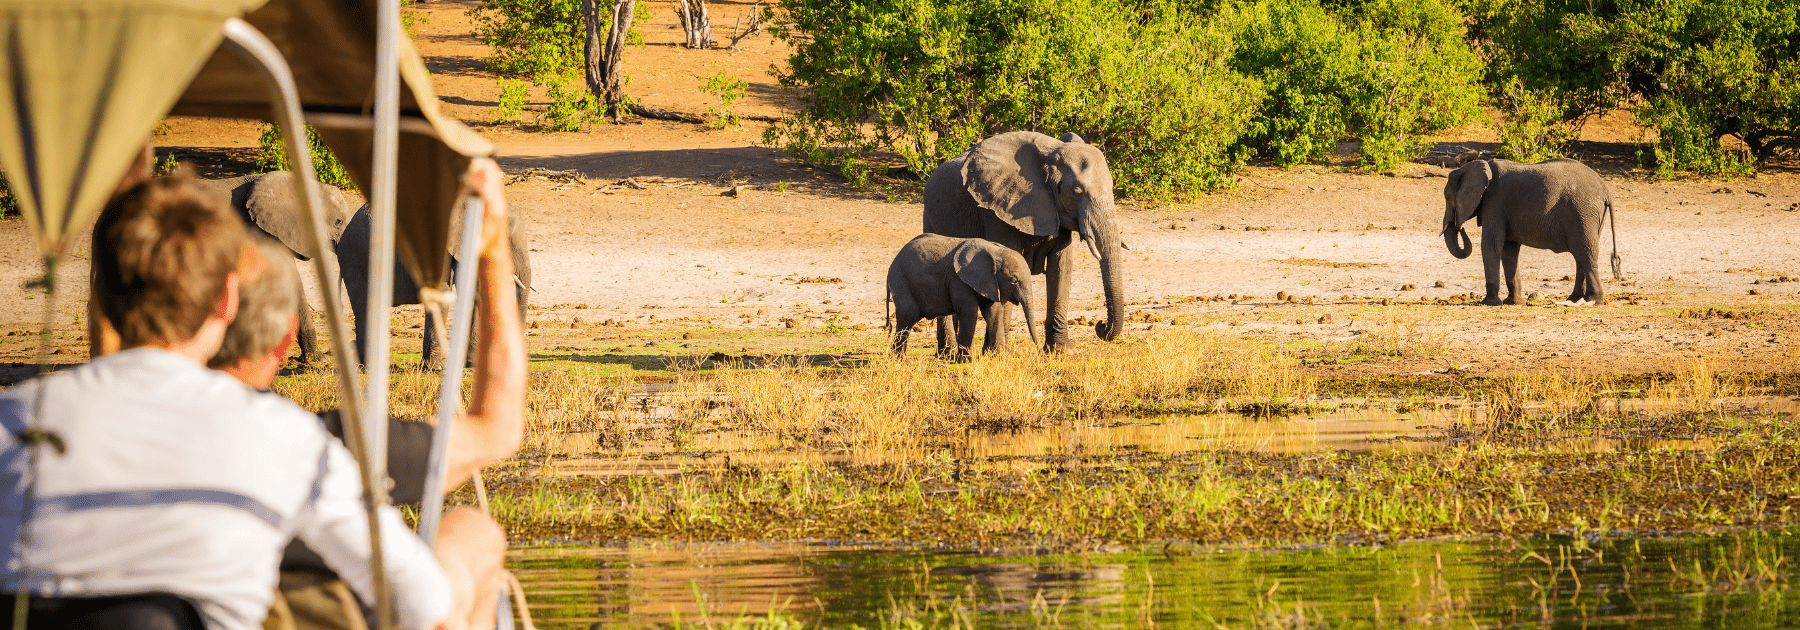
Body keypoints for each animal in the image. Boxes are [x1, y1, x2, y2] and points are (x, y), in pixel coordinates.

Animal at [338, 201, 529, 369]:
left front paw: (472, 365)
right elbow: (441, 292)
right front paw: (435, 368)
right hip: (354, 259)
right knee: (365, 308)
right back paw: (366, 367)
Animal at [885, 234, 1044, 361]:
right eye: (1014, 280)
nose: (1042, 353)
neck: (995, 252)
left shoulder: (991, 282)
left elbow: (993, 313)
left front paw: (999, 359)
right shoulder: (959, 280)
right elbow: (969, 313)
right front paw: (966, 361)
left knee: (908, 320)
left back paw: (898, 359)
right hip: (901, 282)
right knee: (907, 318)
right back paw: (900, 360)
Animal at [928, 130, 1123, 352]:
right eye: (1076, 191)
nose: (1101, 326)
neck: (1050, 154)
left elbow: (1061, 267)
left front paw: (1063, 351)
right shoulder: (997, 210)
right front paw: (998, 353)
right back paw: (948, 353)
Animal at [1440, 157, 1627, 306]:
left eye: (1447, 198)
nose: (1459, 226)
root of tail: (1606, 191)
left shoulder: (1494, 203)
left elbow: (1491, 246)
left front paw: (1489, 303)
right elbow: (1509, 251)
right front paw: (1513, 303)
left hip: (1583, 212)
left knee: (1585, 253)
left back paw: (1592, 301)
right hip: (1590, 216)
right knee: (1580, 255)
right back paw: (1574, 299)